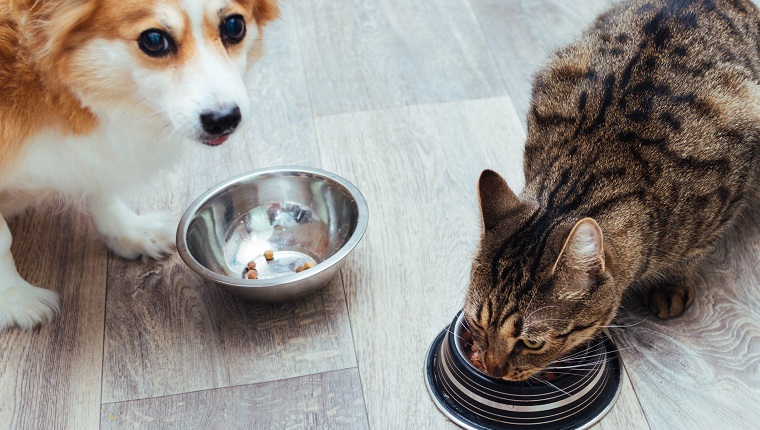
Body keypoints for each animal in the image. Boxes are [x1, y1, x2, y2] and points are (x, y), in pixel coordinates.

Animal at [0, 0, 280, 330]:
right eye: (154, 40)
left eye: (235, 27)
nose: (224, 119)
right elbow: (3, 240)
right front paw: (13, 298)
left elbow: (101, 187)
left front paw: (129, 231)